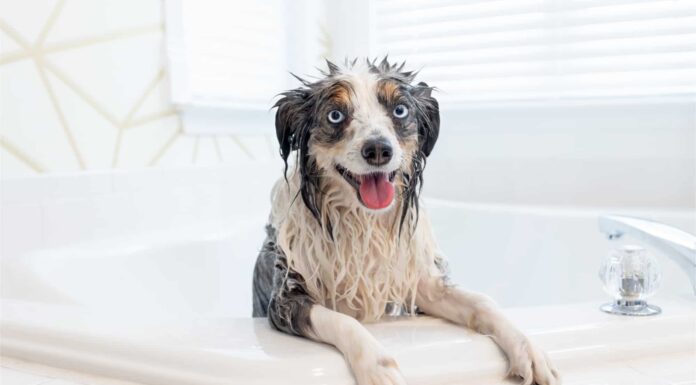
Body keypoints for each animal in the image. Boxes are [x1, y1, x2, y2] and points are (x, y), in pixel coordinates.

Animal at [251, 57, 560, 384]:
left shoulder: (421, 282)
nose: (378, 149)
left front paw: (528, 349)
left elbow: (482, 301)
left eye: (400, 110)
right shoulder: (284, 300)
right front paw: (378, 365)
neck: (362, 221)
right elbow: (342, 319)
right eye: (335, 115)